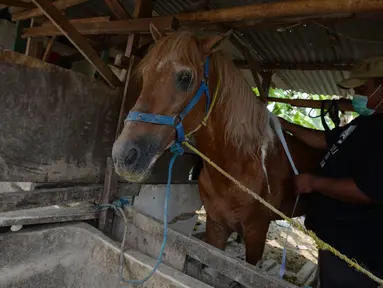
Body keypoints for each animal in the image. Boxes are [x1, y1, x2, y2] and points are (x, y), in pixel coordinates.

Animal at [112, 25, 324, 266]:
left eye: (185, 78)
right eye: (144, 74)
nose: (123, 155)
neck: (237, 169)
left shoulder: (256, 234)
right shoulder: (216, 227)